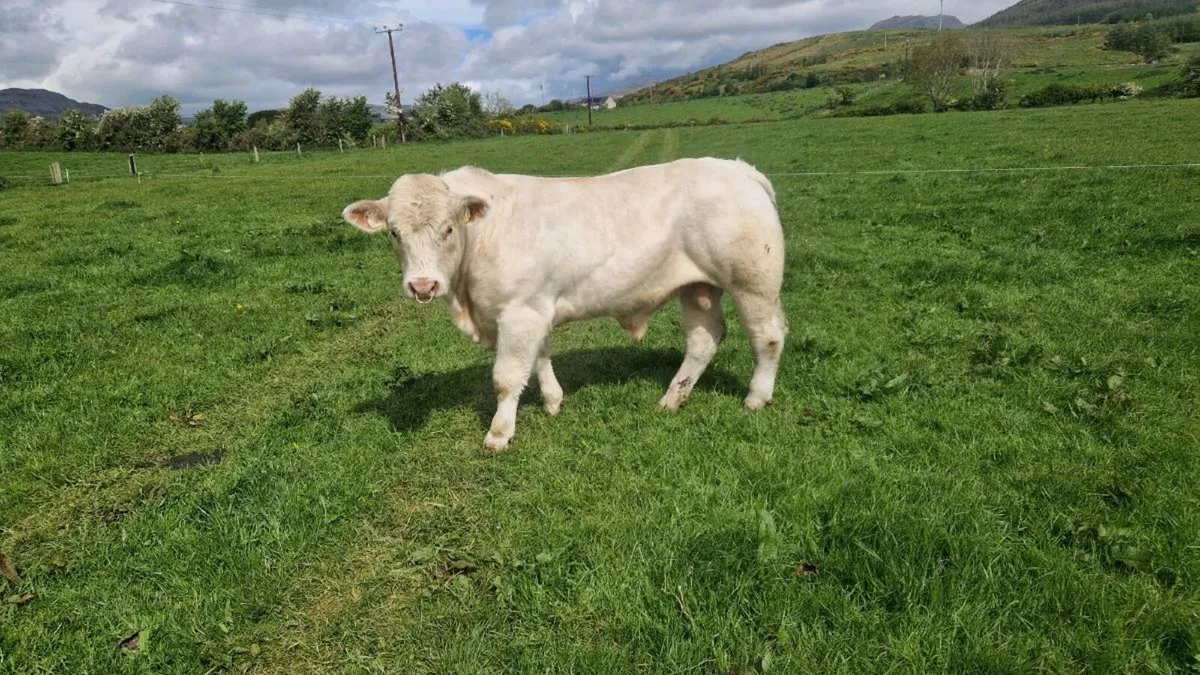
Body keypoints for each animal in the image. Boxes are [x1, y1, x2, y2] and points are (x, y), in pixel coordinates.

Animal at [342, 157, 787, 451]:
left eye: (448, 228)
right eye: (394, 233)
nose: (422, 285)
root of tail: (737, 168)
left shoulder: (519, 312)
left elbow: (507, 377)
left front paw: (499, 433)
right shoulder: (535, 309)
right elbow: (539, 360)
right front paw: (554, 401)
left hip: (753, 282)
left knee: (767, 337)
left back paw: (756, 397)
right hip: (698, 287)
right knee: (703, 340)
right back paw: (672, 399)